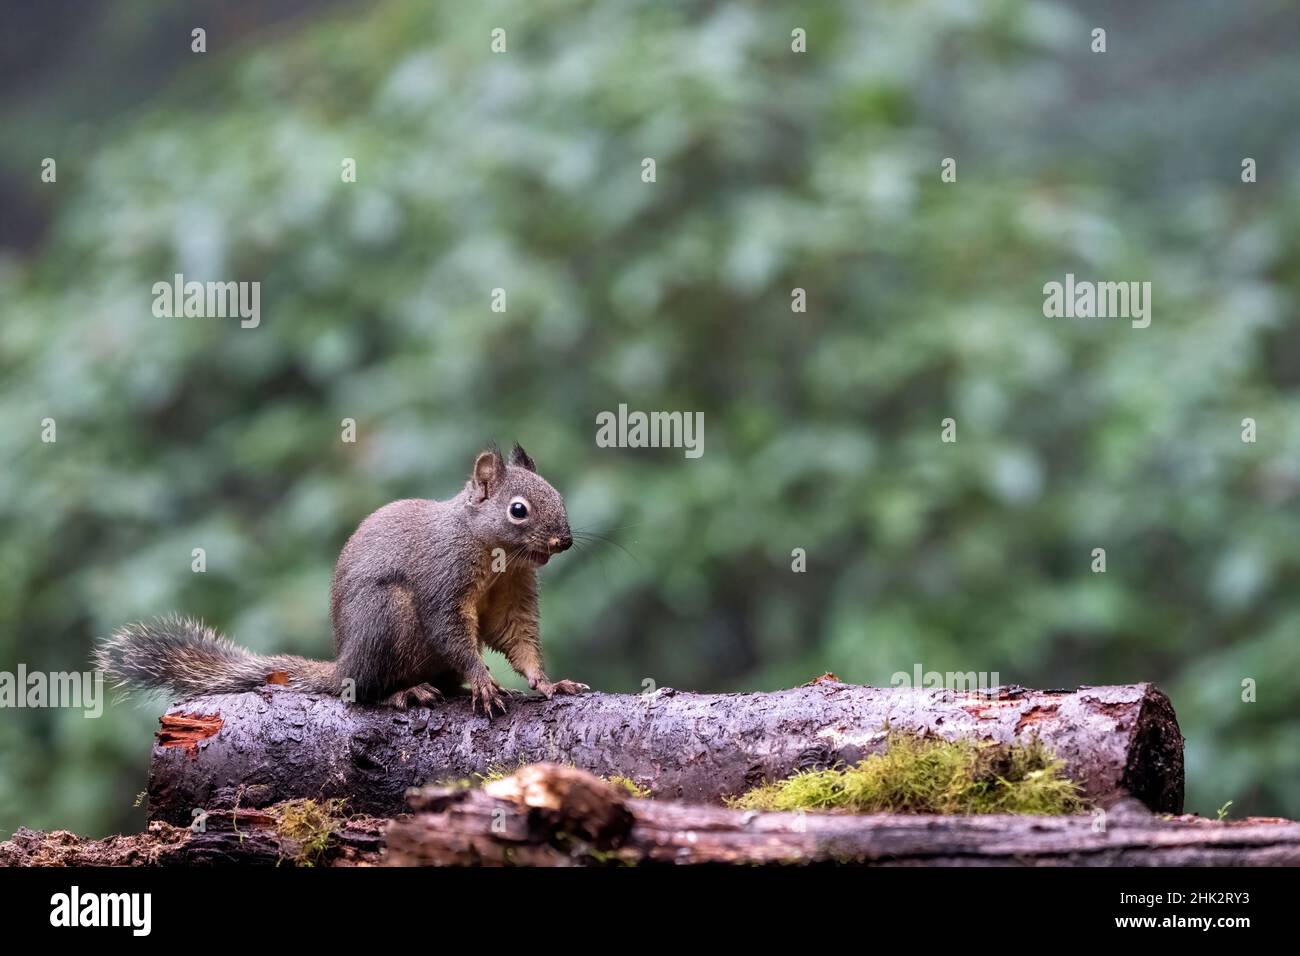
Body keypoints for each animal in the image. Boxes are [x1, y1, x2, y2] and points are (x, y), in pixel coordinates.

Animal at [94, 443, 588, 716]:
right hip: (386, 617)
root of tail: (342, 666)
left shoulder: (513, 593)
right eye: (518, 510)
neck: (494, 556)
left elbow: (517, 638)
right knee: (363, 693)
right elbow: (451, 631)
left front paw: (549, 684)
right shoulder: (442, 578)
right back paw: (404, 693)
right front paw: (483, 681)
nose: (564, 540)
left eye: (558, 495)